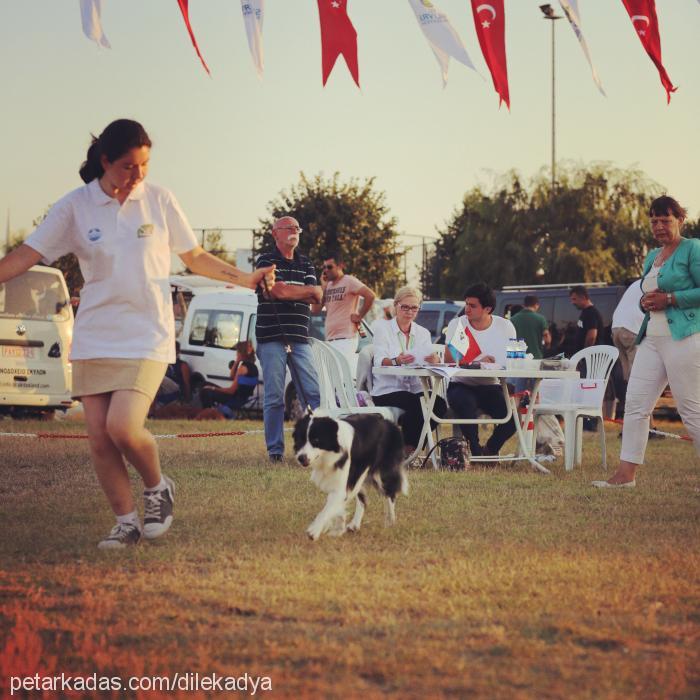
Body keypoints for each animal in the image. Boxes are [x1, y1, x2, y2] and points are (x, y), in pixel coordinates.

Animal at [292, 412, 408, 544]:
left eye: (316, 440)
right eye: (300, 440)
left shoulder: (341, 485)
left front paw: (314, 531)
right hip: (359, 474)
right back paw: (354, 525)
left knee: (390, 494)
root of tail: (387, 421)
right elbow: (339, 506)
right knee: (363, 500)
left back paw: (391, 522)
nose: (301, 458)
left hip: (382, 473)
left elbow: (328, 509)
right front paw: (338, 530)